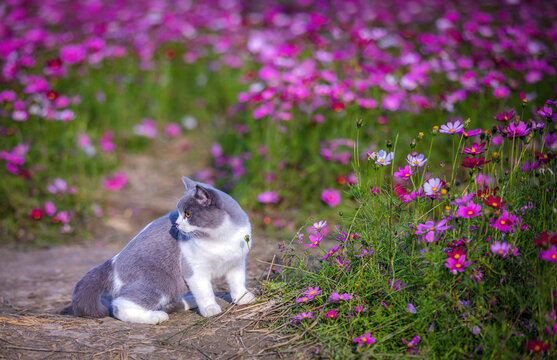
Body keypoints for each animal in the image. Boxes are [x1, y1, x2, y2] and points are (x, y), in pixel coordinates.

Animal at [70, 176, 258, 324]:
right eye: (179, 213)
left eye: (188, 214)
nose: (177, 224)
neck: (220, 238)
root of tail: (113, 261)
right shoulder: (194, 270)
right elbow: (204, 291)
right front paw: (210, 308)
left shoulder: (236, 262)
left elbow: (237, 281)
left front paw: (243, 298)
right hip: (160, 281)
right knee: (119, 306)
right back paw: (156, 317)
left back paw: (189, 301)